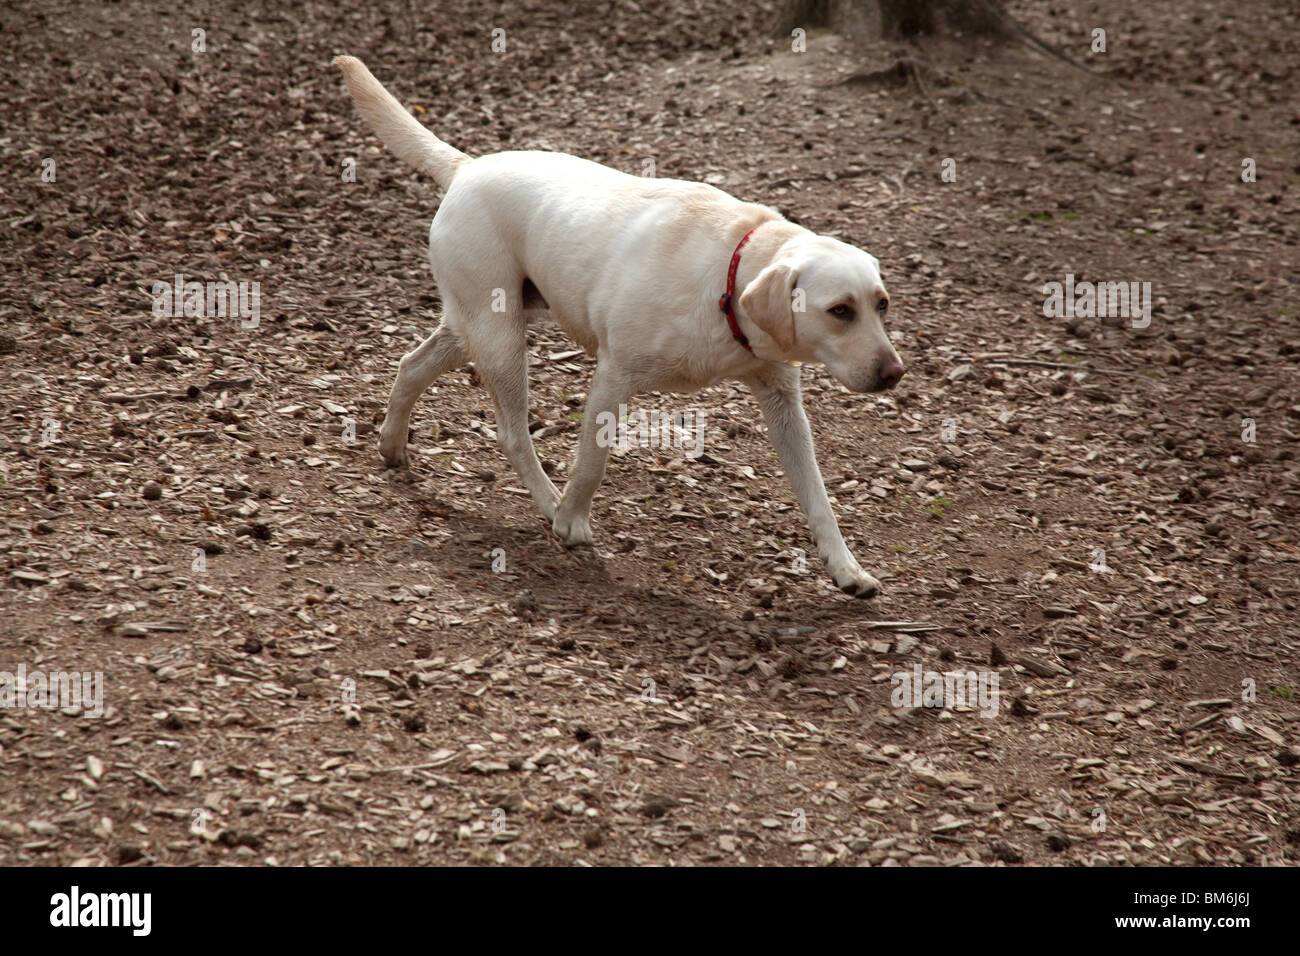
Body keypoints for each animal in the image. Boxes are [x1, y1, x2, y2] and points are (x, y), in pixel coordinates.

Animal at [335, 55, 904, 595]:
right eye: (840, 310)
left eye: (881, 304)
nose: (895, 373)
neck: (730, 271)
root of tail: (466, 168)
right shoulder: (614, 378)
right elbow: (592, 462)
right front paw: (571, 519)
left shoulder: (783, 404)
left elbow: (818, 495)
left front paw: (846, 568)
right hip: (500, 340)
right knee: (512, 433)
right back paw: (548, 501)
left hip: (474, 326)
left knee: (411, 366)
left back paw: (392, 444)